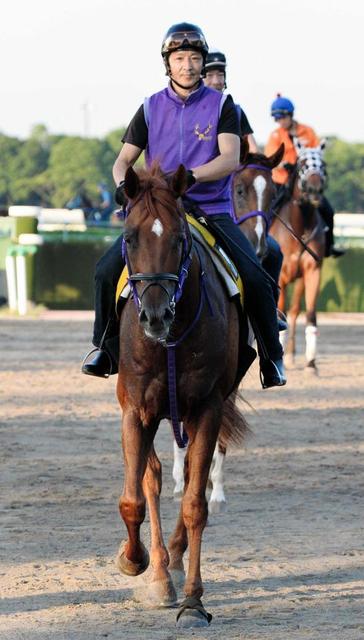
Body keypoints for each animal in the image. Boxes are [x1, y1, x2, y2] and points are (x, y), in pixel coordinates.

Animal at [115, 162, 252, 628]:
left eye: (178, 239)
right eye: (130, 237)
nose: (155, 315)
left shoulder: (207, 408)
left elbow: (195, 503)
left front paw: (193, 601)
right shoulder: (136, 409)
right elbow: (134, 498)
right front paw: (134, 561)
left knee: (189, 476)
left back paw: (172, 564)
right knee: (153, 477)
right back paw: (158, 571)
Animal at [270, 140, 328, 370]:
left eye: (322, 164)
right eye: (303, 164)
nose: (314, 189)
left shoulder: (313, 270)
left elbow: (309, 313)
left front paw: (311, 363)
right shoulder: (281, 275)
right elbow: (280, 309)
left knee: (295, 310)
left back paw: (292, 354)